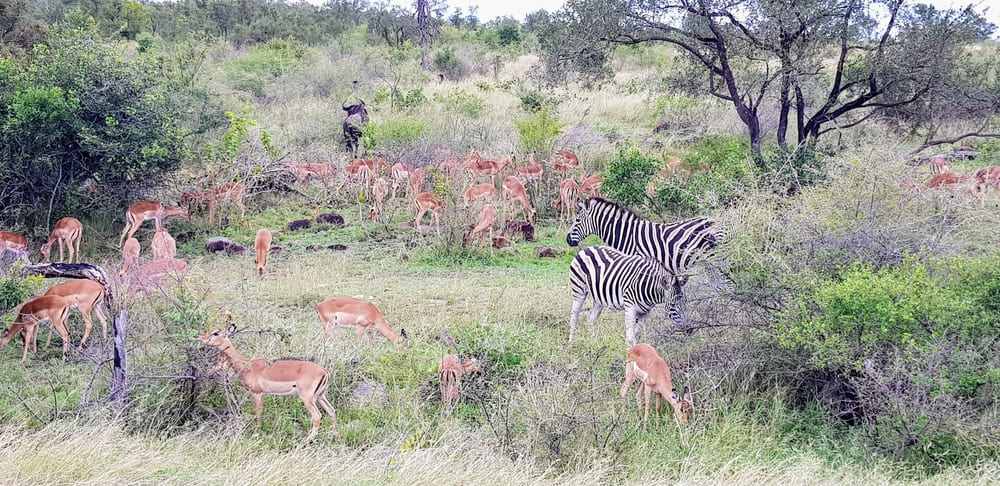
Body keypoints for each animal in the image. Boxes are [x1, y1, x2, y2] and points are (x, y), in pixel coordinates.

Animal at [568, 197, 724, 330]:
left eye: (577, 220)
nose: (567, 240)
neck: (628, 236)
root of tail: (715, 221)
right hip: (709, 263)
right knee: (719, 285)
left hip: (714, 259)